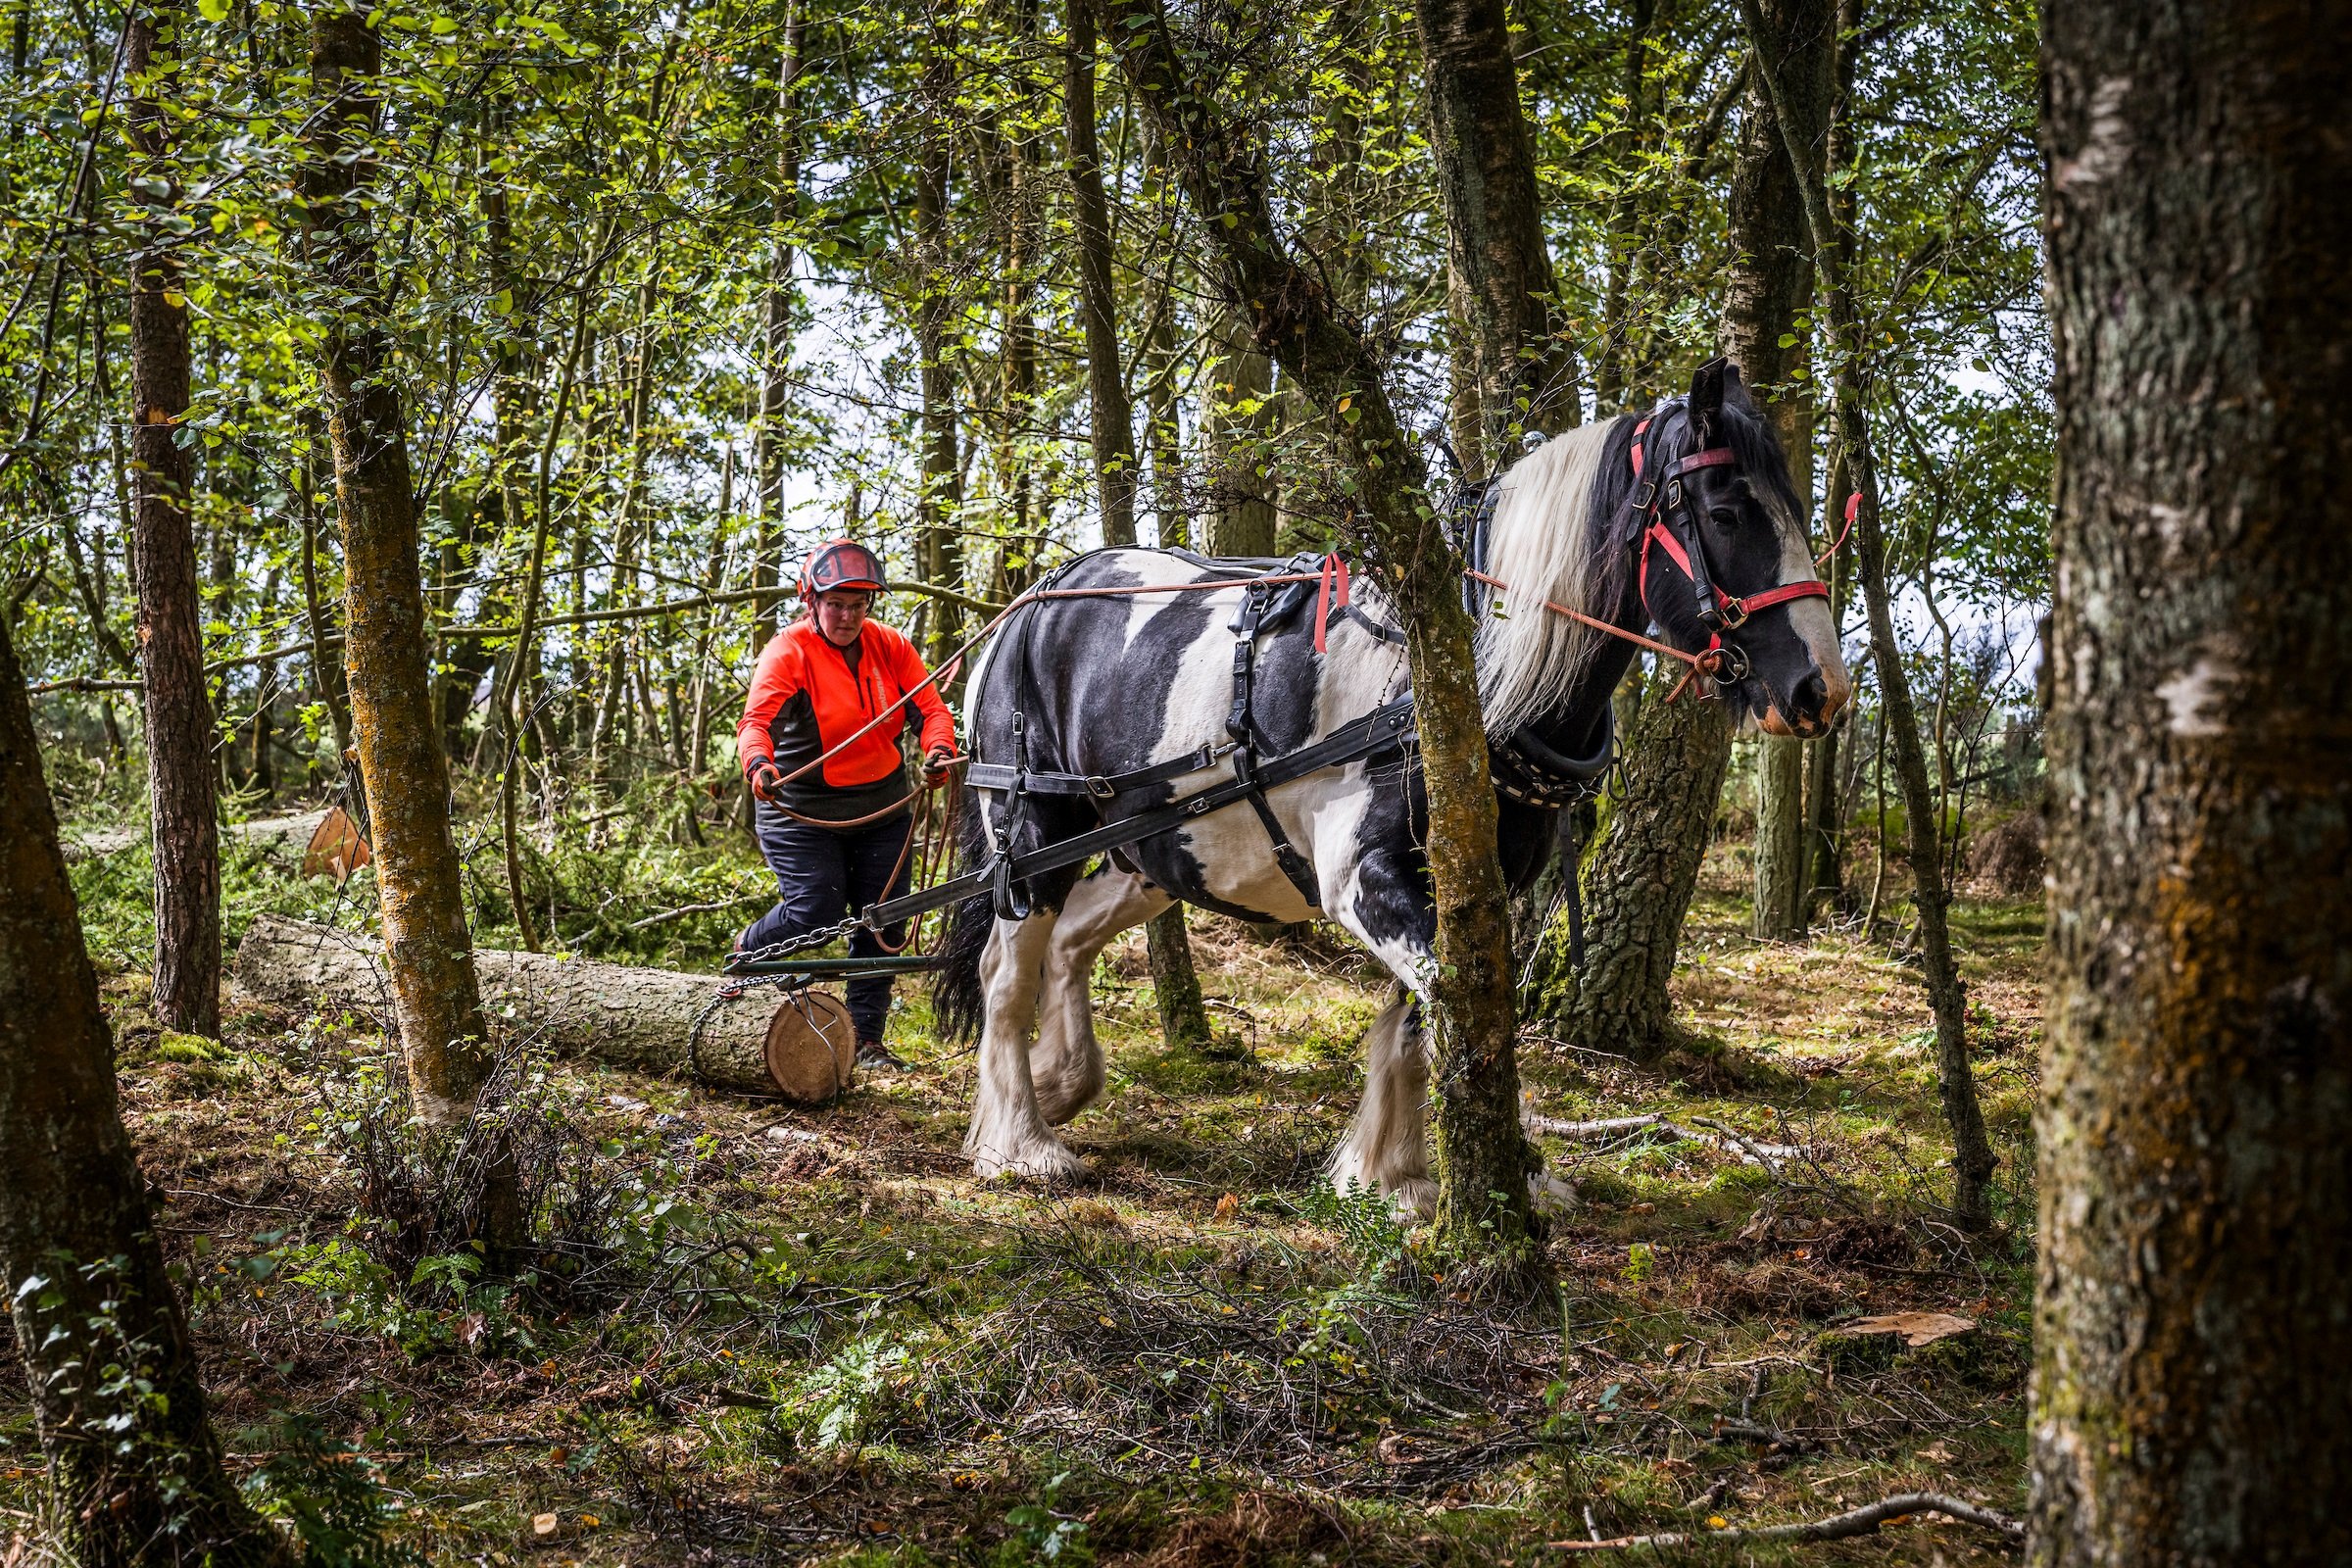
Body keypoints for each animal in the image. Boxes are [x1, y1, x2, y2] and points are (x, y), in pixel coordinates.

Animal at [926, 360, 1843, 1212]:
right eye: (1725, 513)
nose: (1820, 690)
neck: (1464, 673)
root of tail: (1027, 604)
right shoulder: (1364, 876)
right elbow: (1455, 1007)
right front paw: (1477, 1168)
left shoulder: (1472, 882)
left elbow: (1426, 1015)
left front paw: (1394, 1172)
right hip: (1031, 829)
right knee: (1007, 970)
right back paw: (1020, 1142)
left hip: (1153, 849)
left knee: (1070, 942)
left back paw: (1059, 1084)